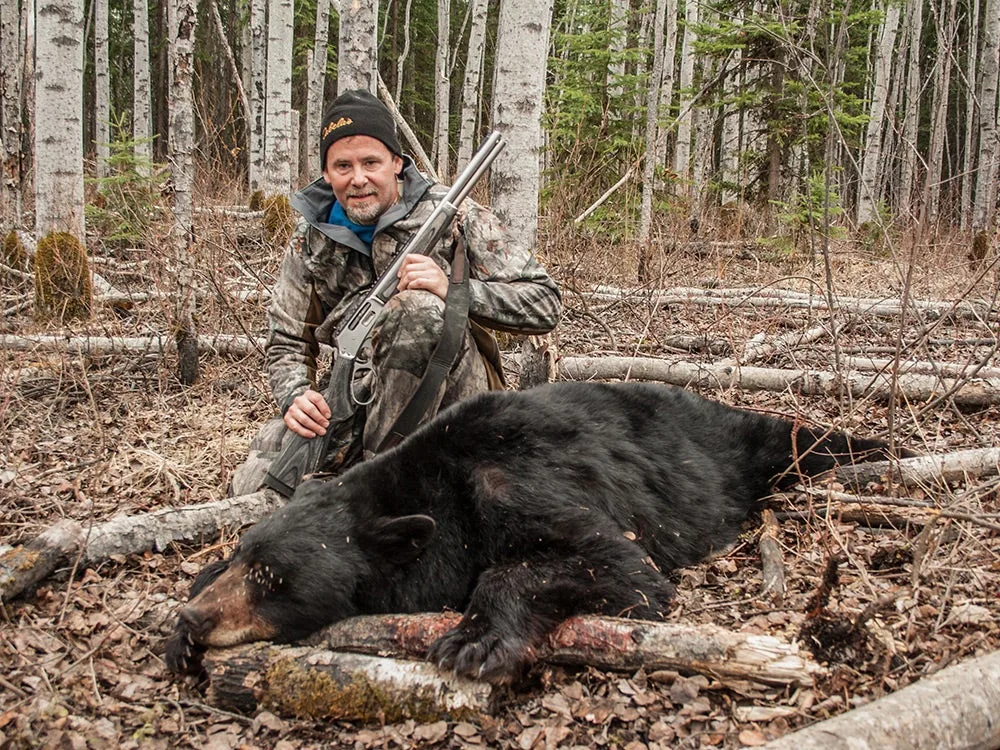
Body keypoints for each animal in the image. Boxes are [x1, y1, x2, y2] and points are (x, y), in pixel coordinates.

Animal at [166, 384, 908, 684]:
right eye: (244, 558)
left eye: (276, 580)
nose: (197, 620)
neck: (438, 492)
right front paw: (181, 621)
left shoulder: (514, 482)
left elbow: (617, 565)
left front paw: (475, 637)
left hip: (738, 443)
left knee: (792, 438)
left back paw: (875, 449)